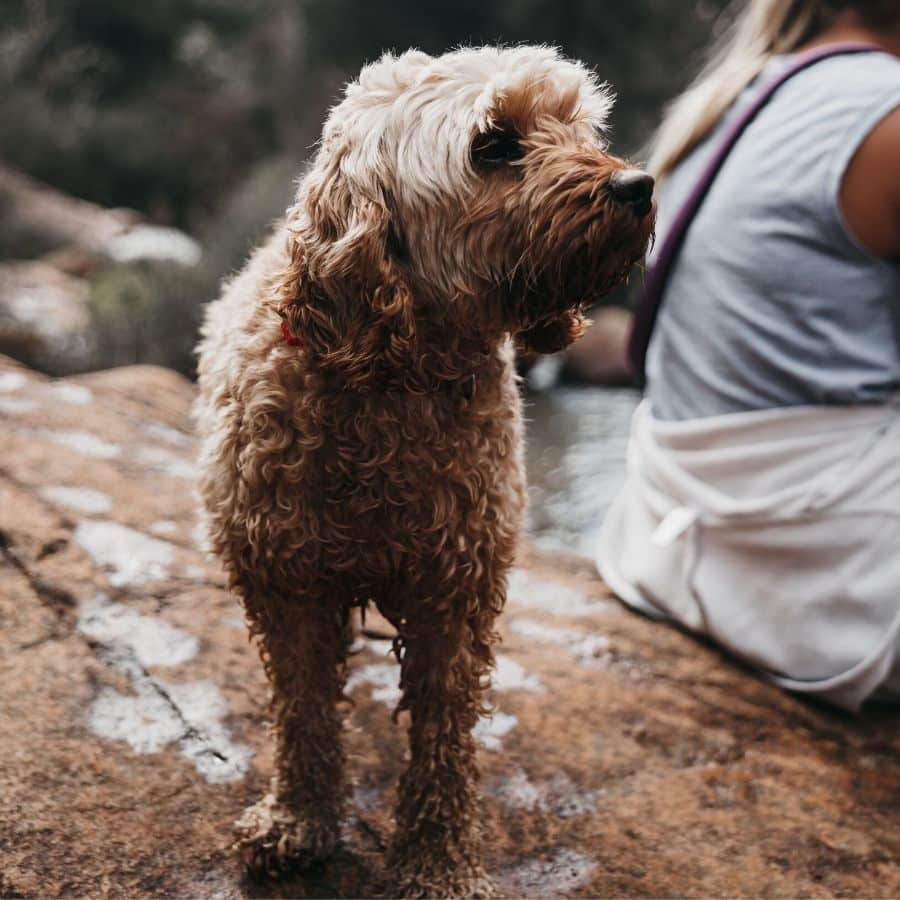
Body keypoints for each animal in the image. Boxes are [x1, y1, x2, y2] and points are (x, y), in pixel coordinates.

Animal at [195, 44, 652, 900]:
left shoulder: (456, 593)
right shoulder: (286, 584)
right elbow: (303, 715)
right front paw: (299, 821)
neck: (390, 378)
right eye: (495, 144)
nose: (637, 186)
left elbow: (444, 740)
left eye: (580, 126)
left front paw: (439, 864)